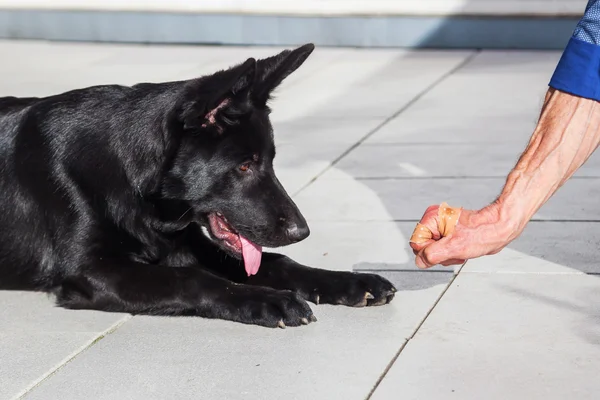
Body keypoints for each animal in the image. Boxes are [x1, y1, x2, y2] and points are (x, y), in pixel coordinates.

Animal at [0, 43, 396, 328]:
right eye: (244, 166)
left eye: (270, 161)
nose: (303, 232)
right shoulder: (93, 272)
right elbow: (190, 279)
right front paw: (268, 300)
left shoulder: (190, 243)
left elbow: (277, 261)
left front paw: (348, 282)